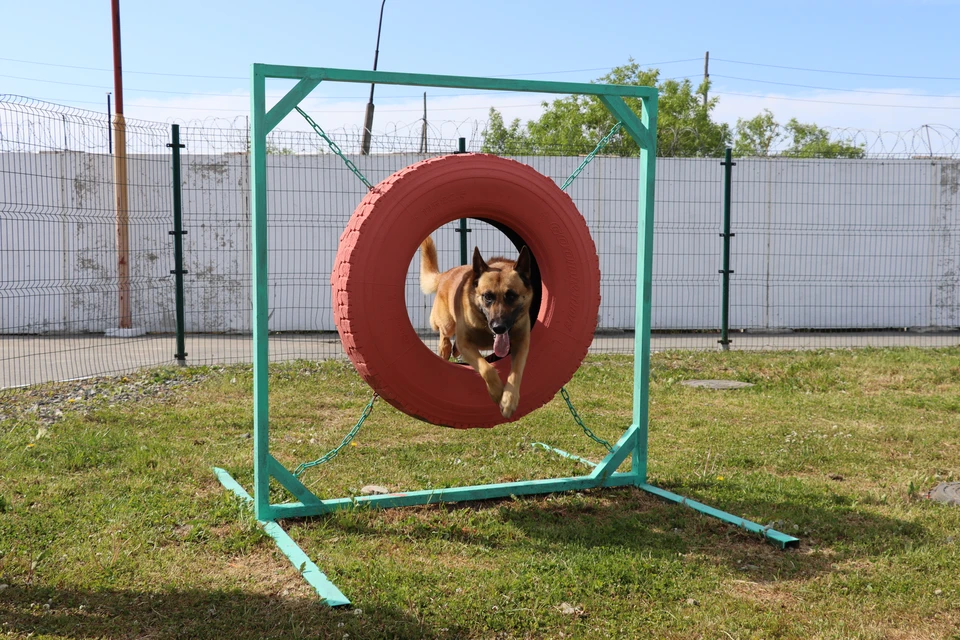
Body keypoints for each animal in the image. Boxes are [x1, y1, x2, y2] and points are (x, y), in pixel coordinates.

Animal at [420, 235, 536, 420]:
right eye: (487, 296)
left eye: (511, 296)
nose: (498, 327)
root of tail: (446, 273)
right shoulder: (466, 344)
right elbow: (487, 368)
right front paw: (497, 392)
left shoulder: (522, 344)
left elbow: (516, 373)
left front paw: (508, 401)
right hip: (447, 324)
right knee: (445, 336)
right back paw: (445, 349)